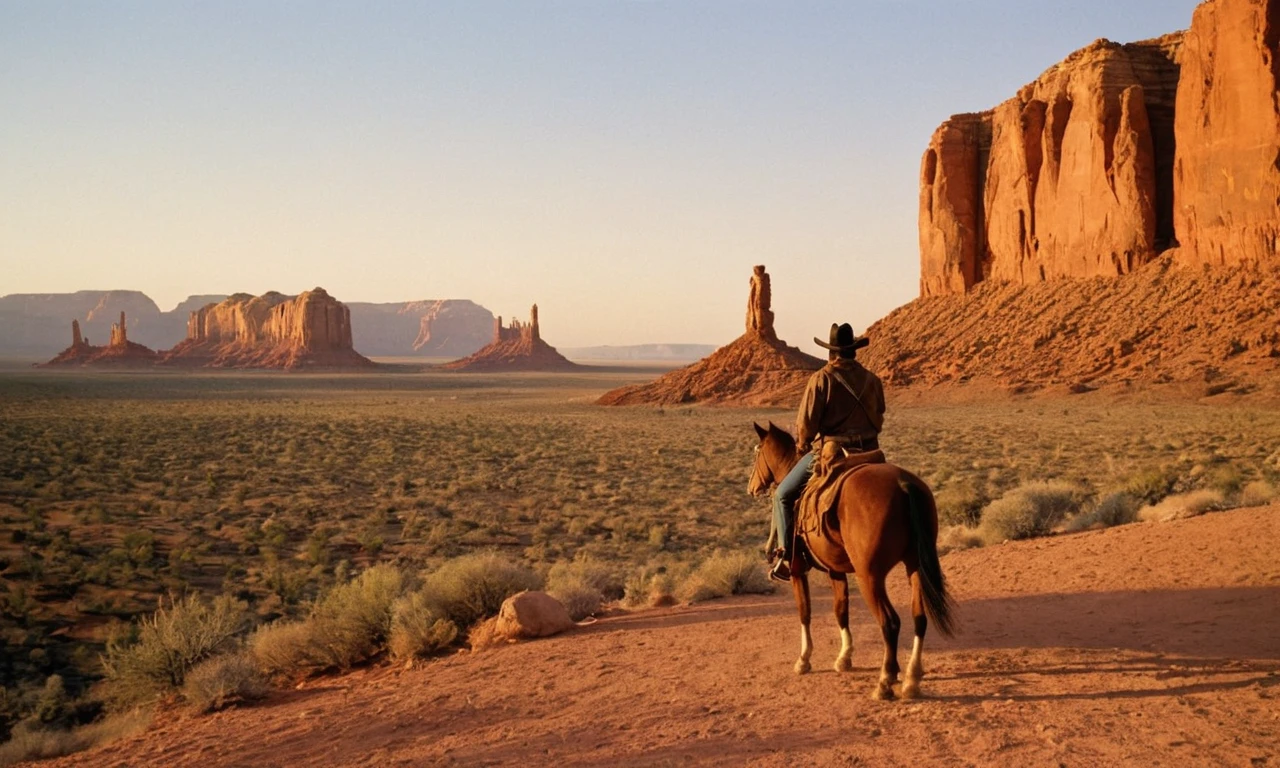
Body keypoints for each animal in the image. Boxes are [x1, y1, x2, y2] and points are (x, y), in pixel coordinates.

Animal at [747, 422, 957, 701]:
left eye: (757, 452)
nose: (751, 487)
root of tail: (903, 485)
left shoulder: (797, 570)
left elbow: (805, 612)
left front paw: (804, 660)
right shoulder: (835, 570)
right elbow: (841, 610)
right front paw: (844, 658)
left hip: (870, 577)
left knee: (890, 622)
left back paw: (885, 682)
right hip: (915, 567)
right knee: (919, 617)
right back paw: (911, 679)